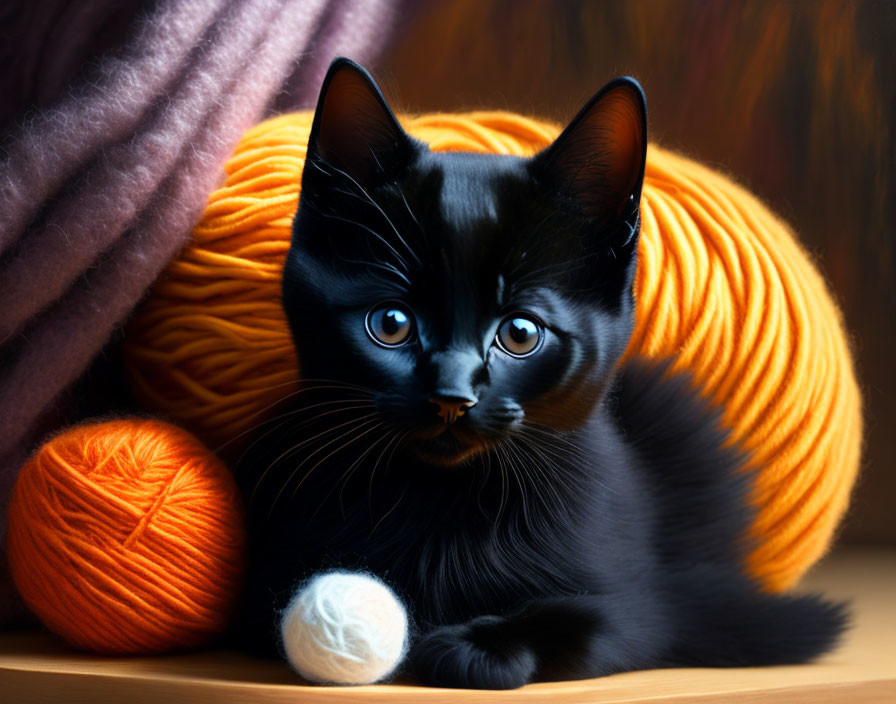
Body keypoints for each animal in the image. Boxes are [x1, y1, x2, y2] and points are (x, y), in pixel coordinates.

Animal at [233, 59, 848, 688]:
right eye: (392, 323)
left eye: (521, 334)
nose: (452, 396)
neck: (445, 507)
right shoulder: (263, 580)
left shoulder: (643, 607)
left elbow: (592, 619)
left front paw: (476, 646)